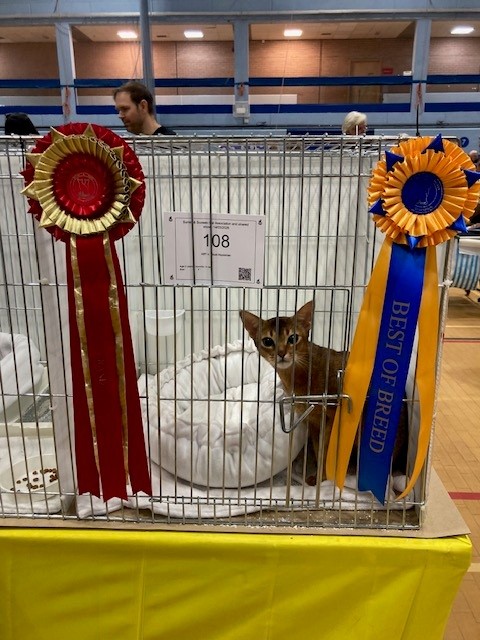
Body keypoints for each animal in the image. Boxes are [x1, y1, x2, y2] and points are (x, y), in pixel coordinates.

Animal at [240, 300, 408, 484]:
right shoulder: (314, 423)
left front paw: (322, 479)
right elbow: (318, 448)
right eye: (268, 341)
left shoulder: (332, 419)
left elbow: (326, 451)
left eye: (293, 338)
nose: (282, 354)